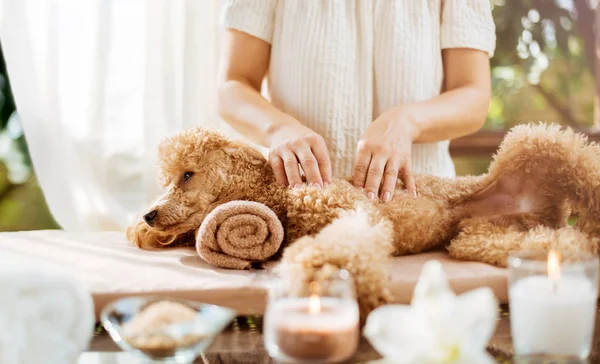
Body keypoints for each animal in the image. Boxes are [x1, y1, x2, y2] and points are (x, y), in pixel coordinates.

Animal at [129, 123, 600, 320]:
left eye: (187, 174)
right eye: (168, 178)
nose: (149, 213)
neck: (279, 194)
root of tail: (544, 208)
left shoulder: (356, 215)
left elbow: (339, 247)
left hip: (536, 141)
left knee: (585, 171)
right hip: (482, 237)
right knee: (555, 241)